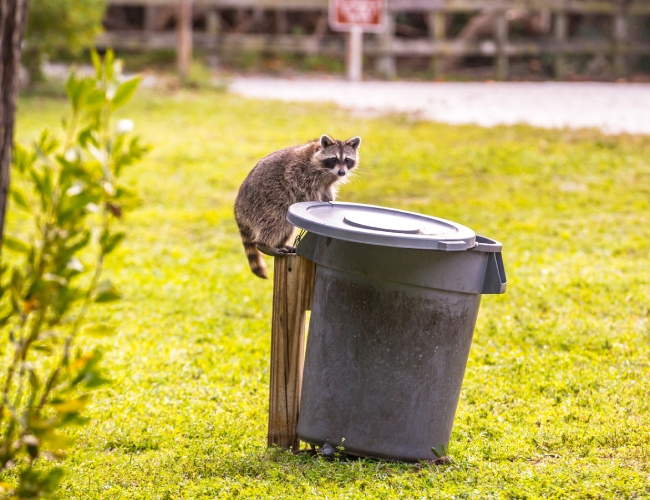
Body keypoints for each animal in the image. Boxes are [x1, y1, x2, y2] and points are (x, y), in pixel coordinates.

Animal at [235, 134, 361, 279]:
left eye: (347, 160)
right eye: (333, 159)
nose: (341, 172)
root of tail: (238, 207)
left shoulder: (326, 182)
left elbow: (326, 191)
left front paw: (329, 201)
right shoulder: (299, 173)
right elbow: (303, 192)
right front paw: (316, 202)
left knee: (286, 226)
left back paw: (280, 244)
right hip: (264, 203)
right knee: (276, 221)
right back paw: (264, 244)